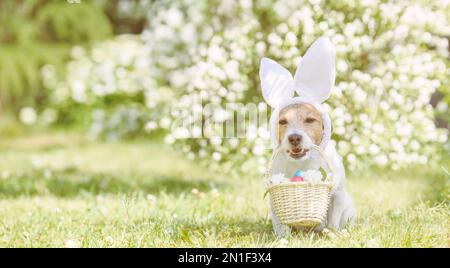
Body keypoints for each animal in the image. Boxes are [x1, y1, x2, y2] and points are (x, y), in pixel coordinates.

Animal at [258, 36, 356, 238]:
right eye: (282, 122)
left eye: (310, 120)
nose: (294, 138)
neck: (302, 163)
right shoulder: (275, 192)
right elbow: (280, 223)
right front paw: (282, 238)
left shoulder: (337, 194)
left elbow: (333, 219)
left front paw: (332, 233)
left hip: (349, 209)